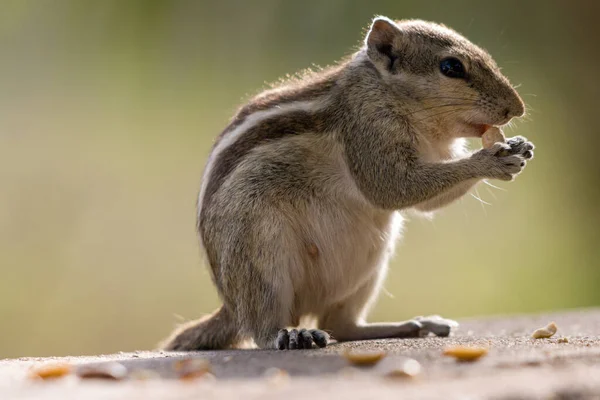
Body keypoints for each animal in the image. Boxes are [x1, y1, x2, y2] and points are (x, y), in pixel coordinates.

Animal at [161, 17, 536, 352]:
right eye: (451, 66)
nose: (516, 108)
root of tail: (230, 305)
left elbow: (425, 201)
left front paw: (519, 145)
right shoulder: (367, 128)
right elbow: (393, 188)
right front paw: (490, 161)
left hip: (369, 269)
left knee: (341, 326)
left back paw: (412, 325)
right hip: (260, 258)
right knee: (261, 328)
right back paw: (289, 334)